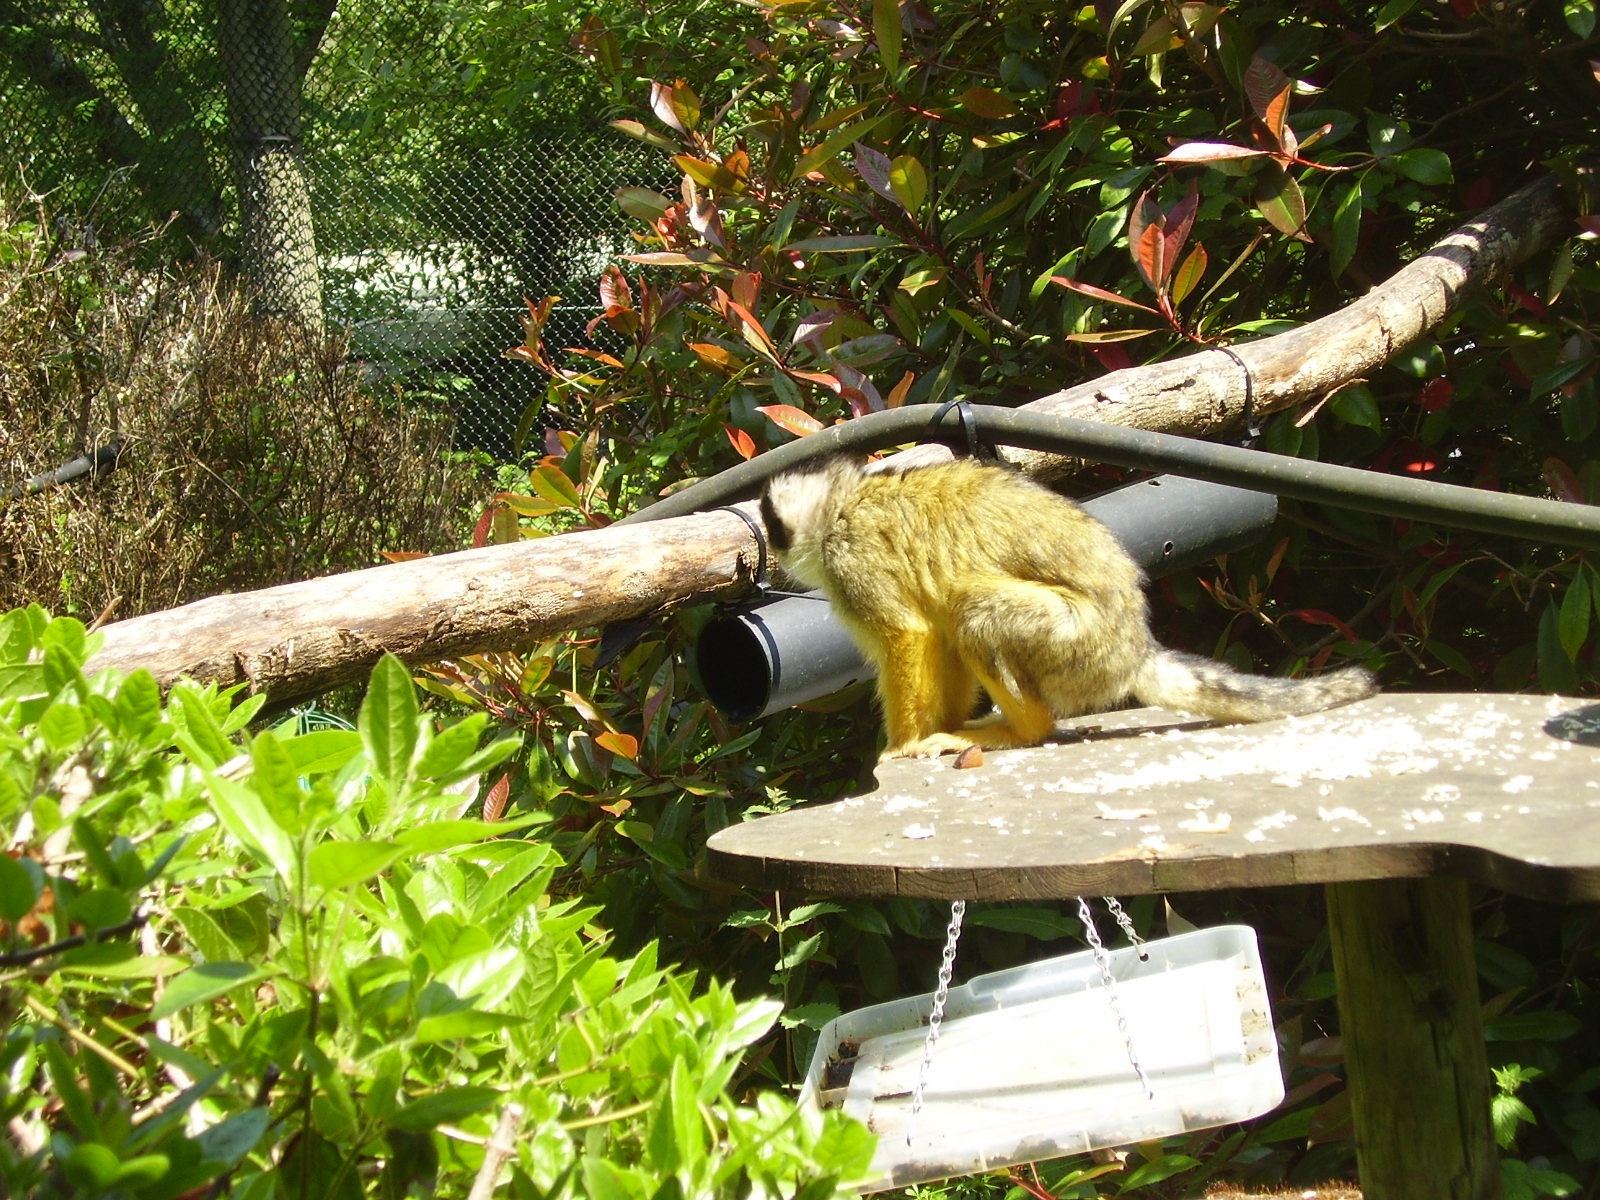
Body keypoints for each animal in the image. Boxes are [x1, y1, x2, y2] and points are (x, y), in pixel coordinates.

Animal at [758, 454, 1378, 760]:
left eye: (772, 524)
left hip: (1076, 644)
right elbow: (935, 639)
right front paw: (939, 726)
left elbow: (909, 635)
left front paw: (903, 745)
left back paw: (1024, 730)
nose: (773, 551)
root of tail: (1134, 651)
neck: (842, 504)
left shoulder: (850, 558)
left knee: (971, 609)